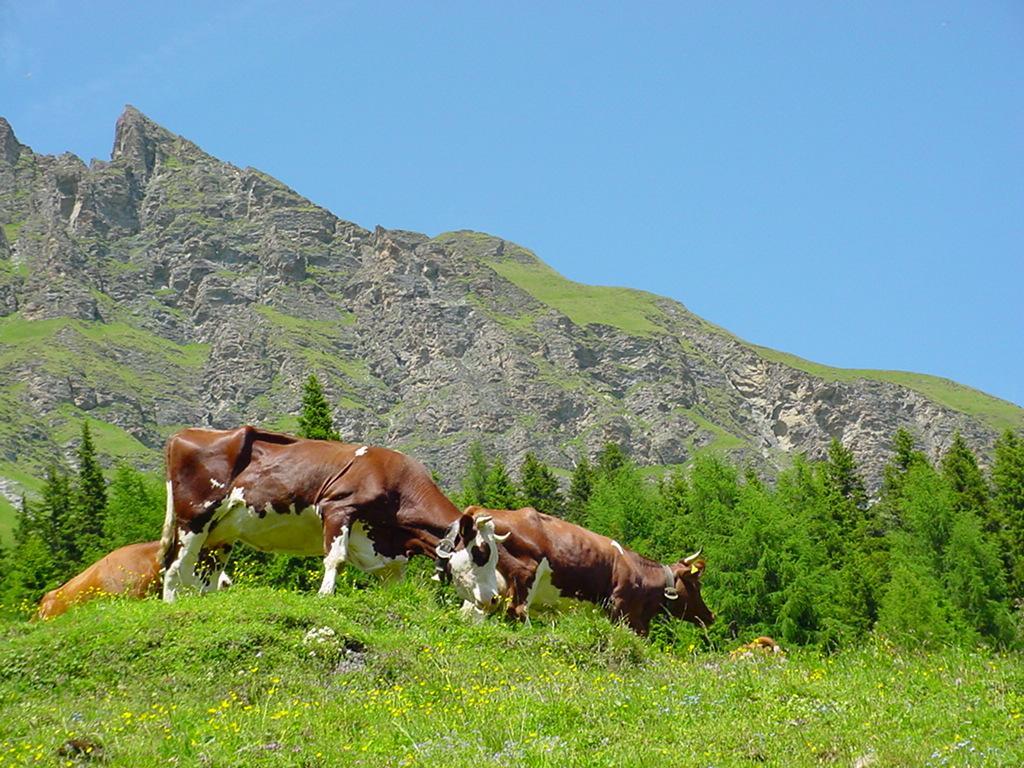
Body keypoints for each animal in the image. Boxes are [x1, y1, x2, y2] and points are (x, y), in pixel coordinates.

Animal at [157, 423, 497, 610]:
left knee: (205, 573)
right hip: (193, 518)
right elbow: (336, 558)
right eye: (481, 553)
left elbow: (394, 584)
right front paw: (325, 595)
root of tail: (183, 435)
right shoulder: (338, 508)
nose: (495, 598)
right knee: (175, 565)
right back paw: (171, 602)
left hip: (221, 534)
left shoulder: (384, 546)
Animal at [438, 505, 712, 638]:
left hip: (486, 589)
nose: (710, 616)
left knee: (471, 613)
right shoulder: (624, 610)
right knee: (517, 610)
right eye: (696, 585)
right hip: (525, 575)